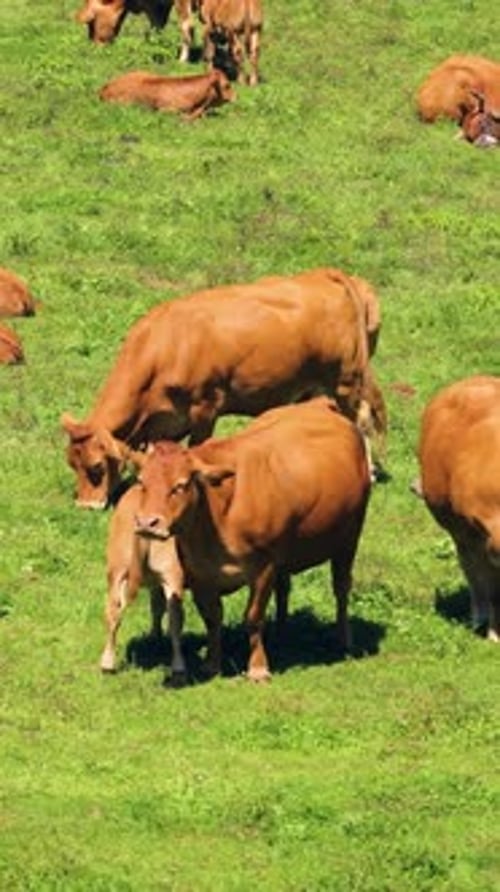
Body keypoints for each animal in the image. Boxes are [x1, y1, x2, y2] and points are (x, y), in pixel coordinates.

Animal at [61, 267, 385, 509]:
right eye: (71, 464)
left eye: (97, 466)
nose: (86, 507)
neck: (169, 344)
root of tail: (325, 274)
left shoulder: (206, 406)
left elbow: (198, 448)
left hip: (346, 380)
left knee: (361, 420)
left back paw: (367, 471)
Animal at [134, 397, 371, 680]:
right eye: (141, 482)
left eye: (180, 485)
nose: (147, 523)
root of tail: (320, 404)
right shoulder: (200, 573)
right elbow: (212, 618)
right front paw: (212, 663)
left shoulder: (263, 568)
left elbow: (253, 617)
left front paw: (258, 668)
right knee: (284, 588)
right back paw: (281, 633)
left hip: (349, 538)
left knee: (342, 587)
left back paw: (344, 640)